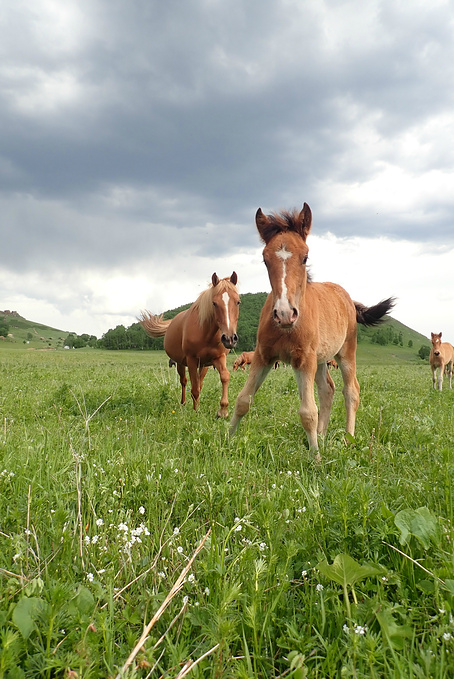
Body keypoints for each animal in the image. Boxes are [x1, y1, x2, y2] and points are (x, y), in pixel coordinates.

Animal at [141, 274, 241, 418]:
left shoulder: (218, 358)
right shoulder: (192, 360)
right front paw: (195, 412)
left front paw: (223, 411)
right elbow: (194, 389)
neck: (206, 334)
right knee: (184, 381)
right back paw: (183, 403)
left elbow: (224, 376)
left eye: (238, 302)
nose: (229, 338)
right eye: (214, 303)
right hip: (180, 363)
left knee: (199, 382)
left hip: (204, 366)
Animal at [229, 205, 396, 460]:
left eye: (305, 257)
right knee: (327, 390)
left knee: (351, 391)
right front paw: (225, 441)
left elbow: (308, 412)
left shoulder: (303, 360)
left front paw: (316, 459)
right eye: (265, 260)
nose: (285, 313)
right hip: (320, 359)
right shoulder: (263, 356)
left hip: (345, 353)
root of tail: (347, 298)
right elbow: (243, 400)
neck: (287, 328)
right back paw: (322, 436)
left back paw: (347, 439)